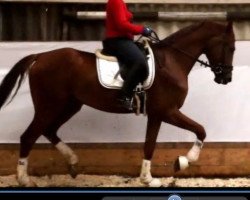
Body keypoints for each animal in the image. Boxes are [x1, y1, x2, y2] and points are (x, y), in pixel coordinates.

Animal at [0, 21, 234, 187]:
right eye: (230, 47)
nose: (226, 78)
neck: (171, 61)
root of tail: (40, 56)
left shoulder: (157, 114)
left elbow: (149, 145)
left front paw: (148, 178)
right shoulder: (168, 111)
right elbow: (200, 130)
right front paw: (184, 161)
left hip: (69, 105)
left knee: (49, 130)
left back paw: (73, 162)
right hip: (49, 106)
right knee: (28, 137)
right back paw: (25, 180)